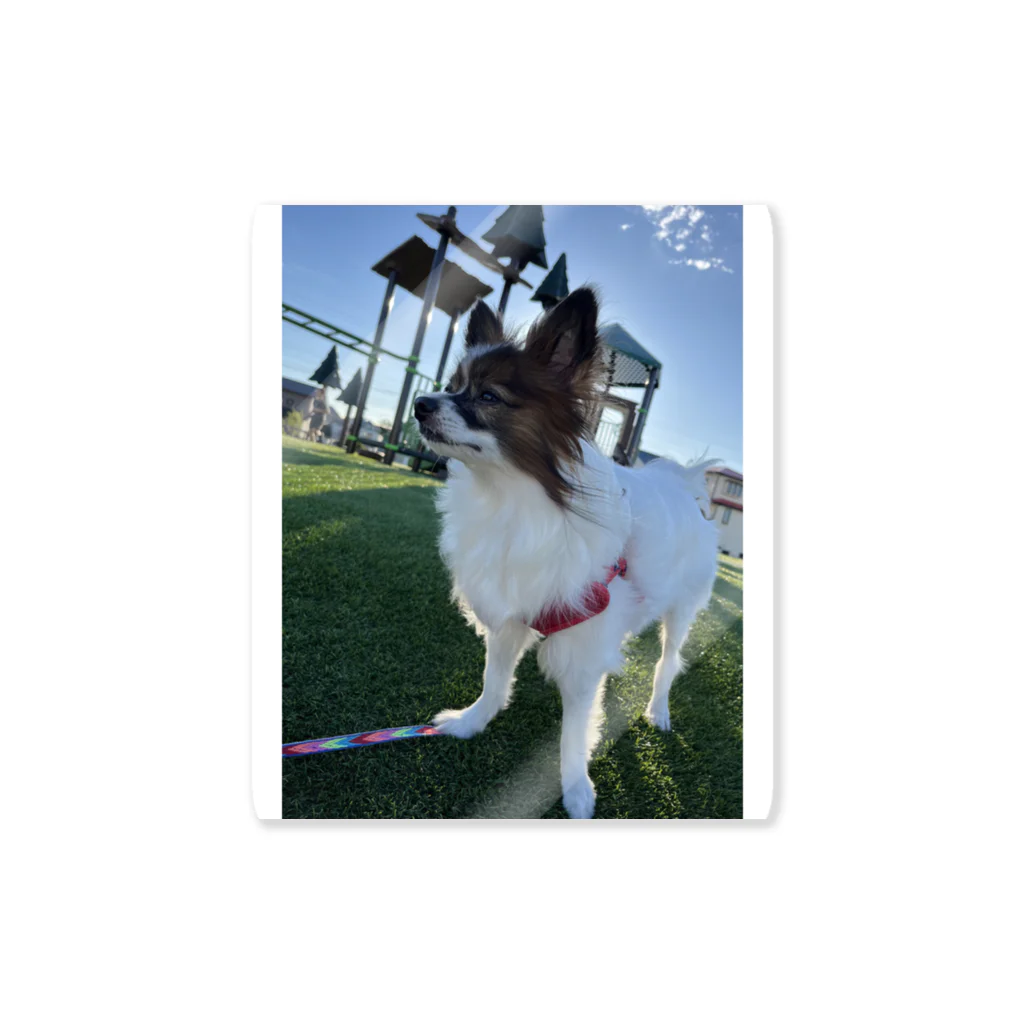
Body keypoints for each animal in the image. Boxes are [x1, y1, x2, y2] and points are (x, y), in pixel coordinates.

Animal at [414, 287, 720, 818]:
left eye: (488, 396)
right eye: (451, 386)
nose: (418, 403)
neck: (513, 499)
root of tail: (682, 482)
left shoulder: (582, 644)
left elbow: (573, 733)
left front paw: (576, 789)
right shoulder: (512, 614)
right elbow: (494, 680)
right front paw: (472, 722)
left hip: (683, 610)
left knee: (668, 662)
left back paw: (658, 710)